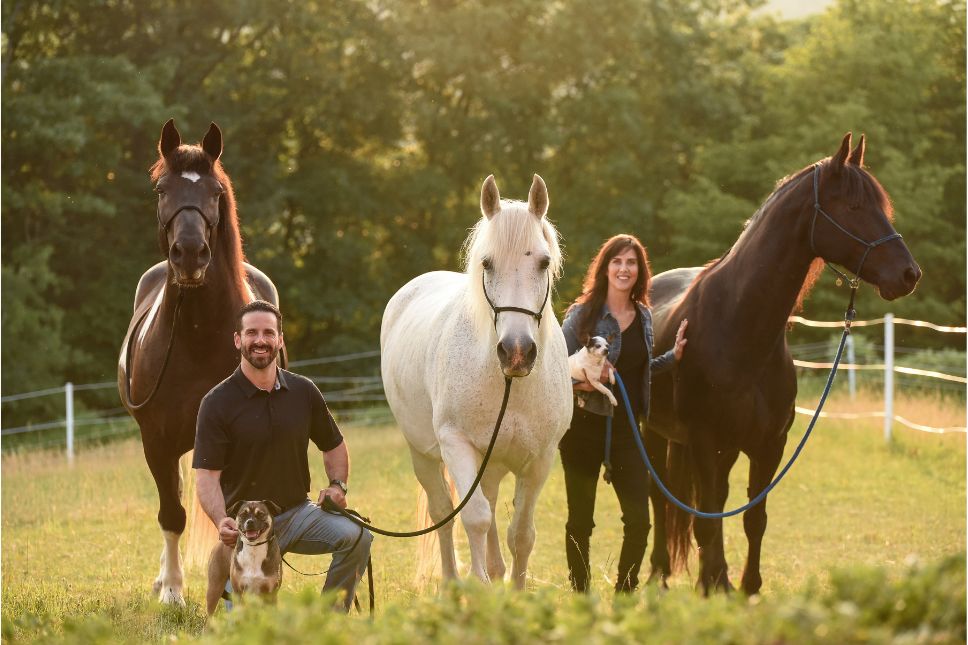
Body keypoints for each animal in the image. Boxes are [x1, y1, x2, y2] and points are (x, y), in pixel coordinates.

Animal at [118, 119, 284, 604]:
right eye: (161, 189)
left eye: (214, 191)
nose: (190, 253)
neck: (197, 336)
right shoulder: (156, 441)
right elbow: (171, 513)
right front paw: (172, 591)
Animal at [380, 174, 576, 588]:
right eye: (487, 263)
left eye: (544, 262)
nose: (516, 351)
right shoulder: (457, 446)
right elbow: (475, 519)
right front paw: (480, 588)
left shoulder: (540, 459)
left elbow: (521, 533)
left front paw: (515, 591)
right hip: (424, 455)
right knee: (443, 513)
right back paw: (452, 584)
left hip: (493, 462)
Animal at [644, 135, 924, 592]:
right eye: (854, 207)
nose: (908, 274)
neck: (739, 329)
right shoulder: (704, 440)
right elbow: (706, 520)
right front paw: (715, 585)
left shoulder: (768, 445)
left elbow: (753, 519)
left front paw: (744, 586)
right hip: (655, 432)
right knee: (659, 496)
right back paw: (658, 574)